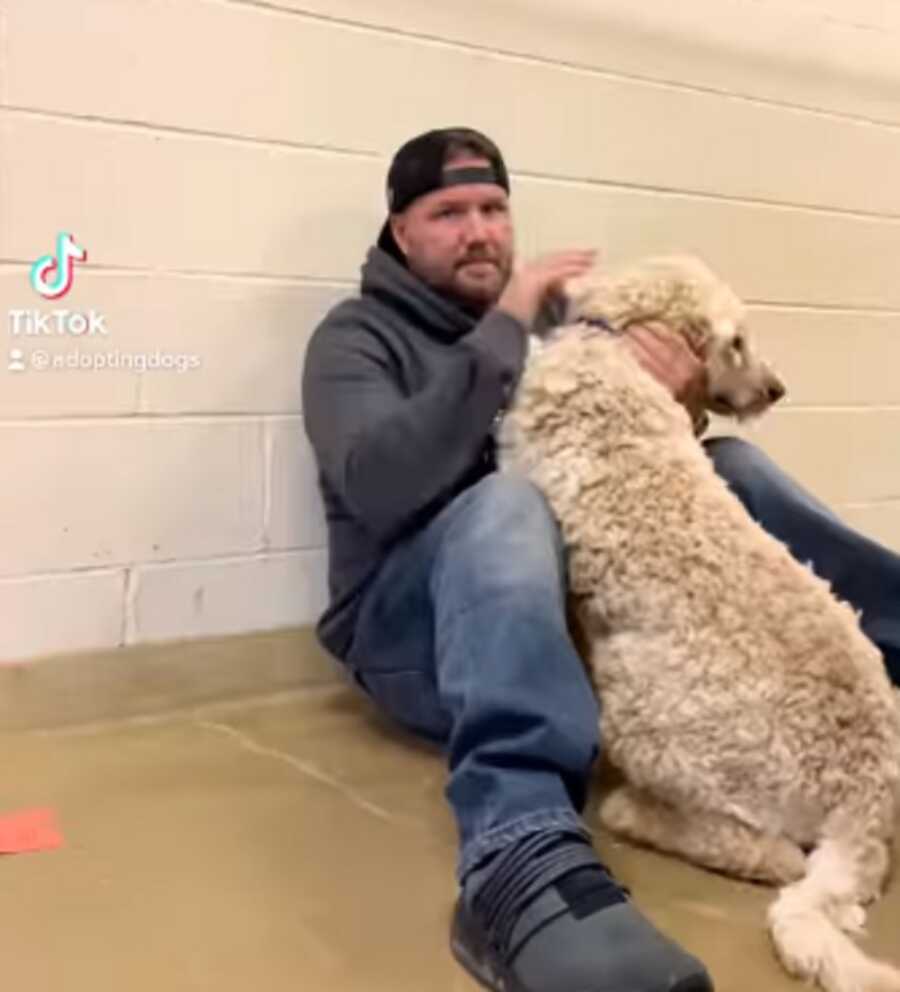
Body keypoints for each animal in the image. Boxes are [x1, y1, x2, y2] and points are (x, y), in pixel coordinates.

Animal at [500, 256, 900, 992]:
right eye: (737, 342)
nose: (777, 388)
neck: (617, 348)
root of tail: (867, 789)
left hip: (645, 708)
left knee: (767, 852)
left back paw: (630, 812)